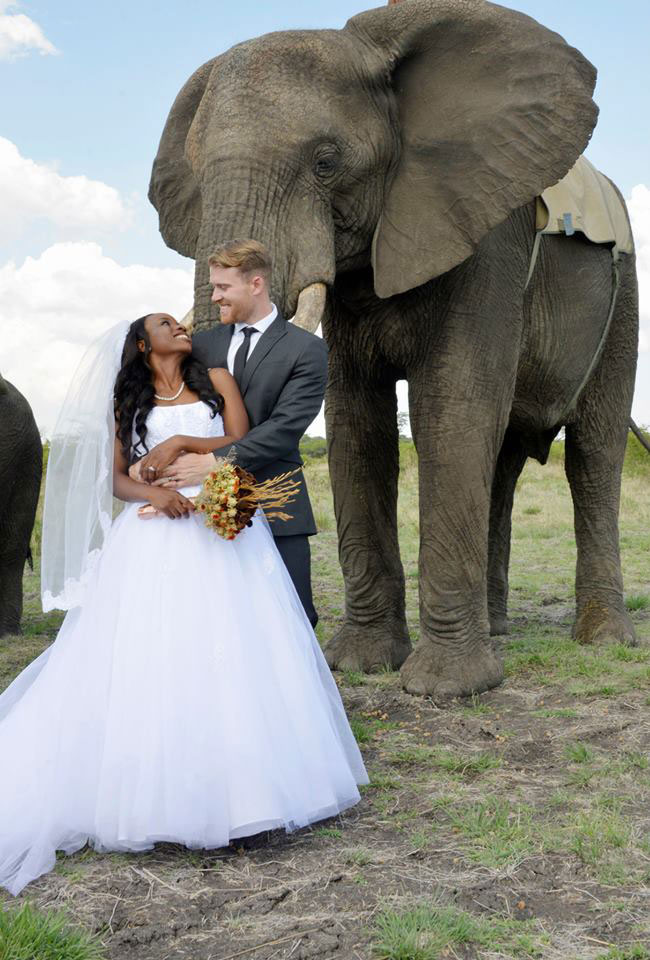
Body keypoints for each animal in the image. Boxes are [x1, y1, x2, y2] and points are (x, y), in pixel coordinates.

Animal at [148, 0, 636, 692]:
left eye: (326, 163)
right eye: (196, 172)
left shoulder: (486, 231)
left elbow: (451, 410)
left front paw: (447, 687)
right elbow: (357, 422)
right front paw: (360, 662)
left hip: (625, 301)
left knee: (594, 452)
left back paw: (601, 640)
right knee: (504, 462)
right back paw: (499, 630)